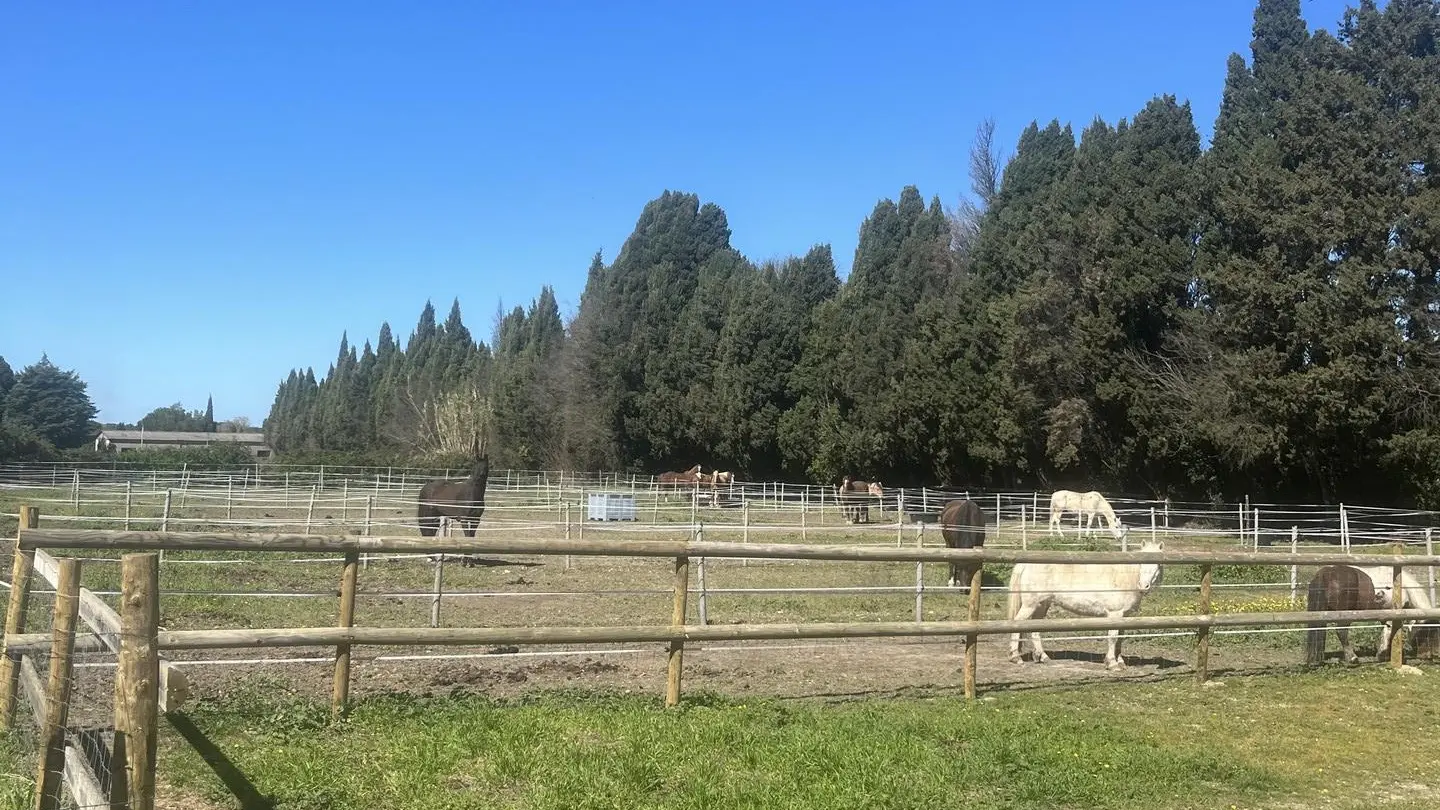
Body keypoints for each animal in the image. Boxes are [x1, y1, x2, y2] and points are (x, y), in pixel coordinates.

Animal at [1008, 536, 1164, 669]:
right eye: (1141, 563)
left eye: (1158, 565)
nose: (1143, 586)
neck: (1125, 577)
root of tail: (1025, 564)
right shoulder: (1115, 614)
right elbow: (1113, 637)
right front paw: (1112, 663)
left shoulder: (1124, 616)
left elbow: (1120, 638)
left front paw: (1120, 662)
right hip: (1030, 605)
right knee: (1017, 623)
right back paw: (1016, 658)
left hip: (1042, 605)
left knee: (1035, 629)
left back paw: (1043, 657)